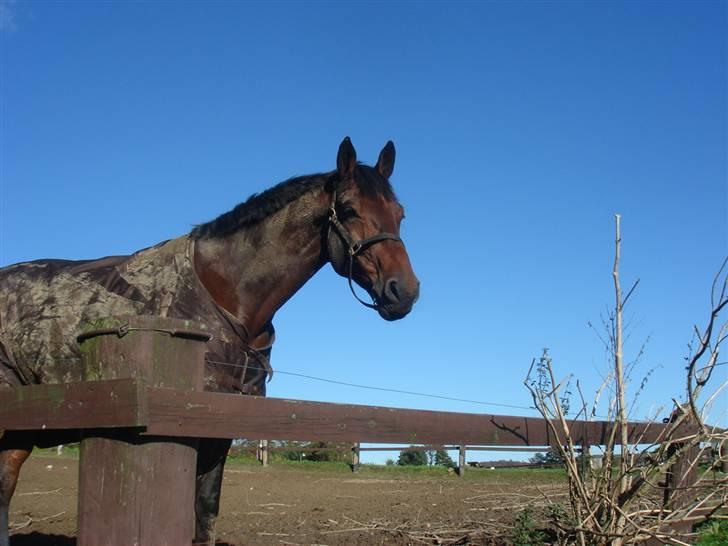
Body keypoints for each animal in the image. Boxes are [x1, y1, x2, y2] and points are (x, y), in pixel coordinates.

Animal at [0, 137, 420, 544]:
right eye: (349, 209)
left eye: (400, 214)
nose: (405, 291)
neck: (225, 296)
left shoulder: (221, 433)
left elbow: (205, 512)